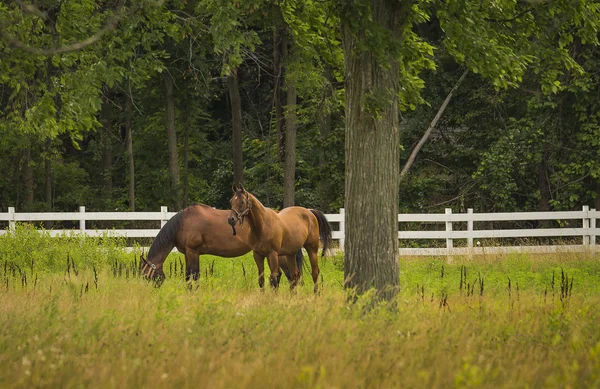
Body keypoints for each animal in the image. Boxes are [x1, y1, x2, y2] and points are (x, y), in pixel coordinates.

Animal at [138, 203, 302, 282]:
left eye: (146, 276)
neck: (183, 223)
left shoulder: (193, 251)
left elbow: (194, 275)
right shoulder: (188, 253)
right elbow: (188, 276)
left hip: (279, 255)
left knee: (289, 276)